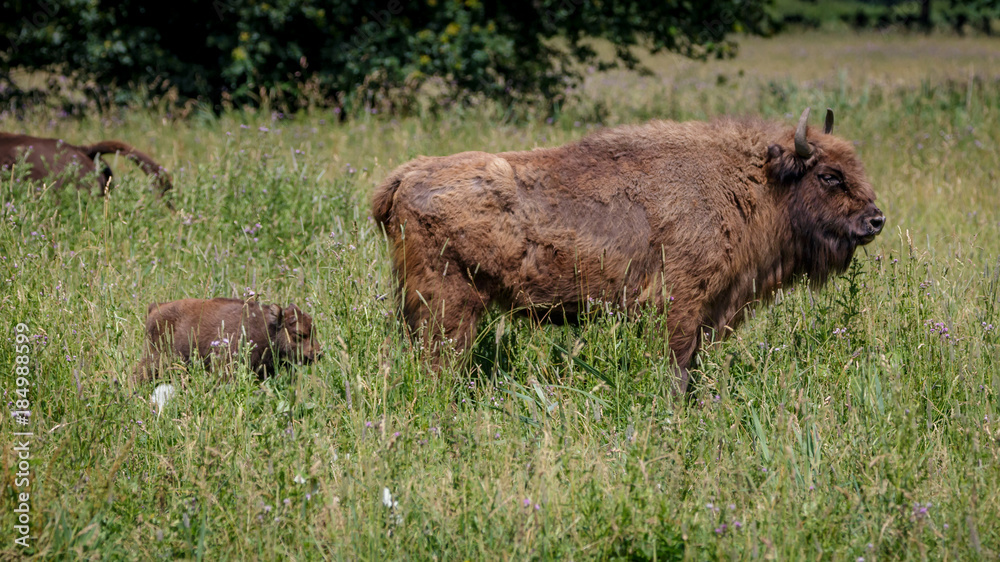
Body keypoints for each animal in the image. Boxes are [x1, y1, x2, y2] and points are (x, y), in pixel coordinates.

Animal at [373, 108, 884, 392]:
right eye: (829, 176)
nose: (875, 219)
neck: (750, 182)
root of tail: (405, 176)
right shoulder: (680, 307)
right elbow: (678, 367)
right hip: (448, 304)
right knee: (439, 358)